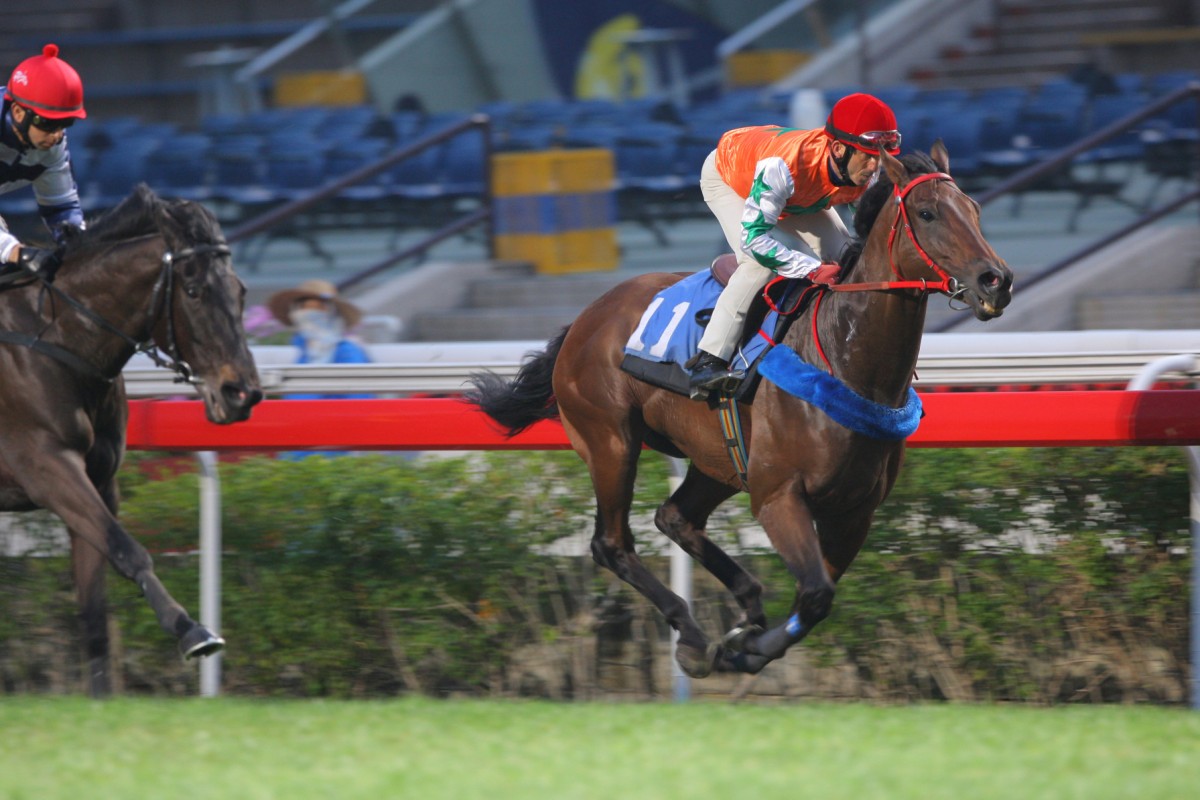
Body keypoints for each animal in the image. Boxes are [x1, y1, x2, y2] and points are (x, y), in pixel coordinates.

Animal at [0, 183, 261, 695]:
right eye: (195, 291)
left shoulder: (99, 480)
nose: (242, 393)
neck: (56, 336)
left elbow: (94, 601)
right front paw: (193, 632)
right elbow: (127, 549)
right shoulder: (45, 466)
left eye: (240, 290)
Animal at [468, 140, 1012, 681]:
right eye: (927, 213)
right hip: (610, 441)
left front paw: (748, 641)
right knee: (612, 543)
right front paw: (746, 649)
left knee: (675, 518)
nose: (996, 280)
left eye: (974, 210)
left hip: (718, 458)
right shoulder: (778, 497)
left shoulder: (855, 511)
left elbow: (816, 595)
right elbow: (816, 595)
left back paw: (743, 606)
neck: (845, 358)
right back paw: (691, 636)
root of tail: (585, 318)